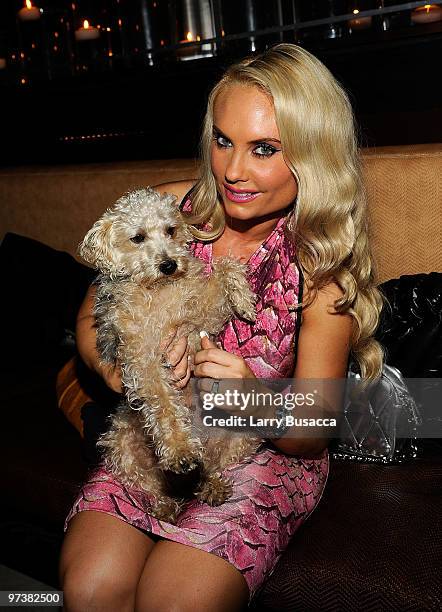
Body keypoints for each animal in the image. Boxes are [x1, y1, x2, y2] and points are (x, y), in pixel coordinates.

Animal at [78, 189, 262, 524]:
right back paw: (165, 504)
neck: (158, 290)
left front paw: (244, 300)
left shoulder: (201, 316)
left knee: (212, 467)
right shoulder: (143, 359)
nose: (169, 264)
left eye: (171, 230)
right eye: (137, 237)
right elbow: (163, 406)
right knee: (151, 483)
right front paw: (179, 450)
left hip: (243, 435)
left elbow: (226, 267)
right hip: (120, 447)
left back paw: (213, 486)